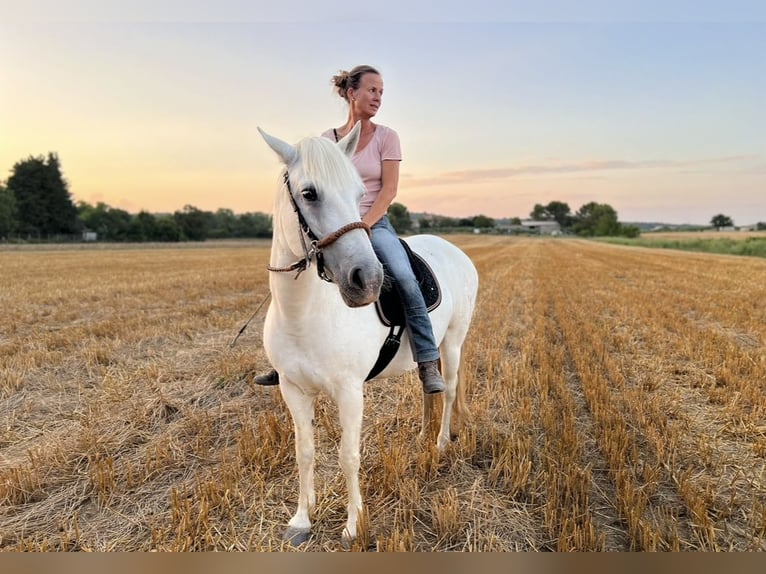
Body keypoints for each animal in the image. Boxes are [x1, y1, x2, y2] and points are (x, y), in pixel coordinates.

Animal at [258, 122, 480, 548]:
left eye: (360, 193)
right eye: (309, 193)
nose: (369, 280)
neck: (303, 313)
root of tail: (454, 249)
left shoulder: (349, 392)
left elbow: (348, 456)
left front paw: (352, 525)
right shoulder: (293, 390)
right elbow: (304, 451)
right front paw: (302, 520)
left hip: (454, 342)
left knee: (449, 390)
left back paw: (441, 443)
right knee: (430, 385)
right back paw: (422, 437)